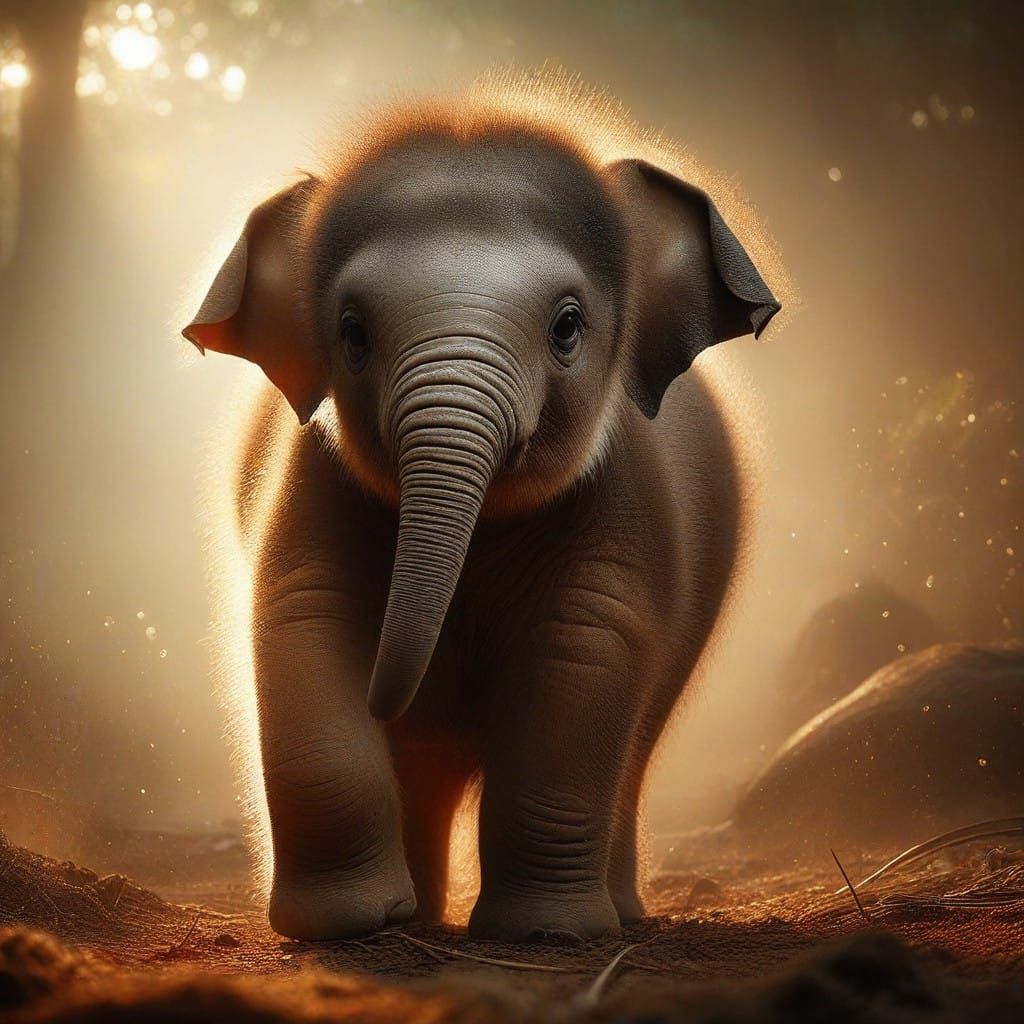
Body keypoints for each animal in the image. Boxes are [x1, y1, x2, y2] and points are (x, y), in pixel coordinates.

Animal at [184, 91, 781, 942]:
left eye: (567, 326)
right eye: (353, 332)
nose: (397, 695)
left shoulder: (624, 507)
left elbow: (586, 649)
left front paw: (544, 933)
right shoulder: (312, 484)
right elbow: (303, 619)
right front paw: (350, 923)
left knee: (632, 752)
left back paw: (617, 914)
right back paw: (423, 915)